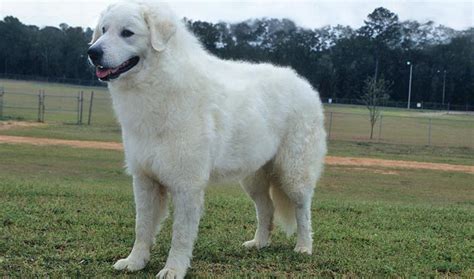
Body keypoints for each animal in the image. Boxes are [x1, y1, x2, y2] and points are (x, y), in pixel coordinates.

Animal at [88, 1, 326, 278]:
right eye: (104, 30)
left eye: (127, 33)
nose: (92, 52)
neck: (157, 82)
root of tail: (304, 84)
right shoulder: (145, 179)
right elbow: (142, 227)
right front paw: (135, 262)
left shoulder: (187, 184)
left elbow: (180, 235)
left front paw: (173, 269)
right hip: (254, 177)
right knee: (266, 208)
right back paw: (259, 243)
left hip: (293, 173)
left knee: (302, 210)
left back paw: (304, 247)